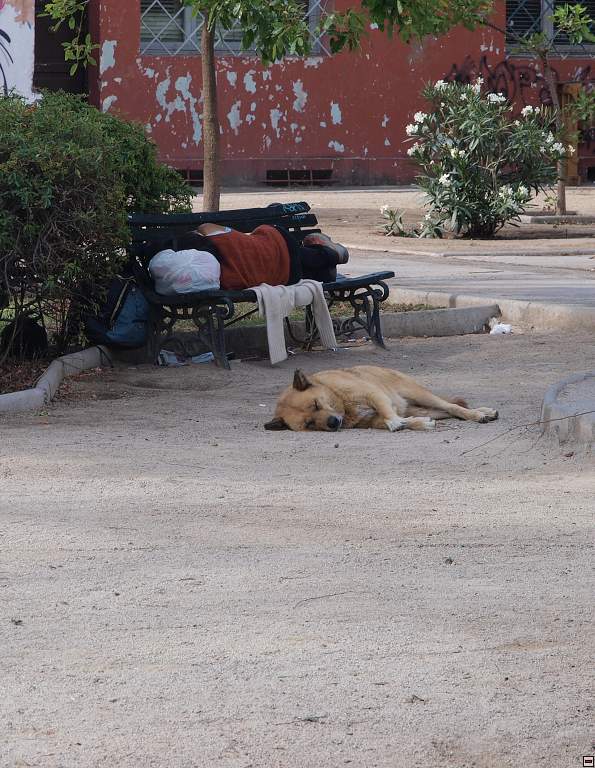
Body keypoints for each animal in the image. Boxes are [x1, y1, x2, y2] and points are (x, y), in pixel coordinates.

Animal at [266, 366, 498, 432]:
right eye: (309, 424)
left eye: (315, 404)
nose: (333, 423)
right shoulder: (372, 420)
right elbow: (393, 421)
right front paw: (416, 424)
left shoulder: (374, 394)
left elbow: (388, 414)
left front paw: (396, 423)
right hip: (419, 407)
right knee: (447, 411)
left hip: (419, 394)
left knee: (452, 406)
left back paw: (480, 413)